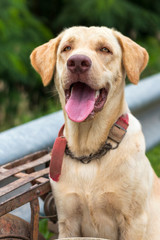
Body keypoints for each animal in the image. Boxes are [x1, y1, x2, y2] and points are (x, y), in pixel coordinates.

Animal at [30, 26, 160, 240]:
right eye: (67, 48)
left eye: (105, 49)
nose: (77, 62)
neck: (88, 152)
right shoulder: (67, 221)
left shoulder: (134, 221)